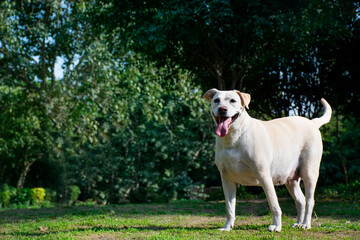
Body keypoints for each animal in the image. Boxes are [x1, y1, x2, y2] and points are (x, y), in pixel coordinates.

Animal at [202, 88, 332, 232]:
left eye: (233, 101)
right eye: (216, 100)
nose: (222, 109)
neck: (233, 138)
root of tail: (312, 122)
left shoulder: (264, 176)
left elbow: (274, 204)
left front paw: (277, 226)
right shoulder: (227, 179)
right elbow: (230, 207)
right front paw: (227, 227)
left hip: (309, 173)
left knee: (309, 200)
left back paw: (305, 224)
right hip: (291, 180)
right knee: (301, 200)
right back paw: (298, 223)